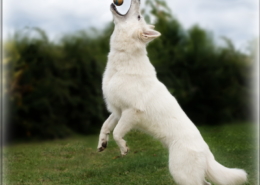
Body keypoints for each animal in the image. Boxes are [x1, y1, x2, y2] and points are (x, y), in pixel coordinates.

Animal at [96, 0, 247, 184]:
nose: (138, 1)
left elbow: (117, 132)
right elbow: (105, 126)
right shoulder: (118, 111)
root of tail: (207, 153)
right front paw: (102, 143)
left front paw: (123, 148)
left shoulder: (131, 112)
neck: (123, 61)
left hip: (180, 173)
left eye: (139, 16)